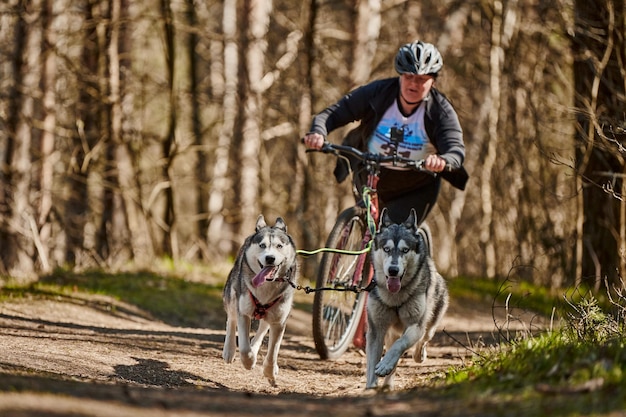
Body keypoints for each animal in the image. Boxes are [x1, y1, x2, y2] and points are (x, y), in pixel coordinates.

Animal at [222, 216, 298, 386]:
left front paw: (270, 372)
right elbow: (244, 348)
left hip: (271, 314)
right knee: (231, 318)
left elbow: (273, 352)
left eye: (279, 246)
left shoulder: (279, 322)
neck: (266, 288)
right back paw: (229, 350)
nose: (270, 258)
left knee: (263, 328)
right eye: (262, 245)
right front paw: (248, 361)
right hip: (232, 293)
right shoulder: (244, 312)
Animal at [364, 208, 446, 390]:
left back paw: (418, 355)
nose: (393, 270)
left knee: (423, 340)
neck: (394, 298)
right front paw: (371, 384)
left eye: (405, 250)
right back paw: (387, 383)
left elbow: (400, 344)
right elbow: (372, 362)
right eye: (387, 249)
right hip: (390, 333)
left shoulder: (416, 326)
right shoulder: (376, 329)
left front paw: (385, 365)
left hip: (430, 325)